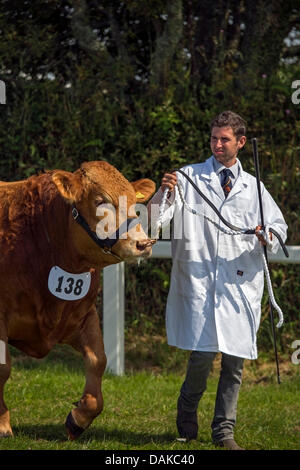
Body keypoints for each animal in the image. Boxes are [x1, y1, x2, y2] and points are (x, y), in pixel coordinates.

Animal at [0, 162, 156, 440]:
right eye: (100, 201)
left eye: (133, 202)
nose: (143, 244)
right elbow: (3, 367)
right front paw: (3, 424)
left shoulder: (84, 313)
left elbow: (98, 360)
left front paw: (79, 417)